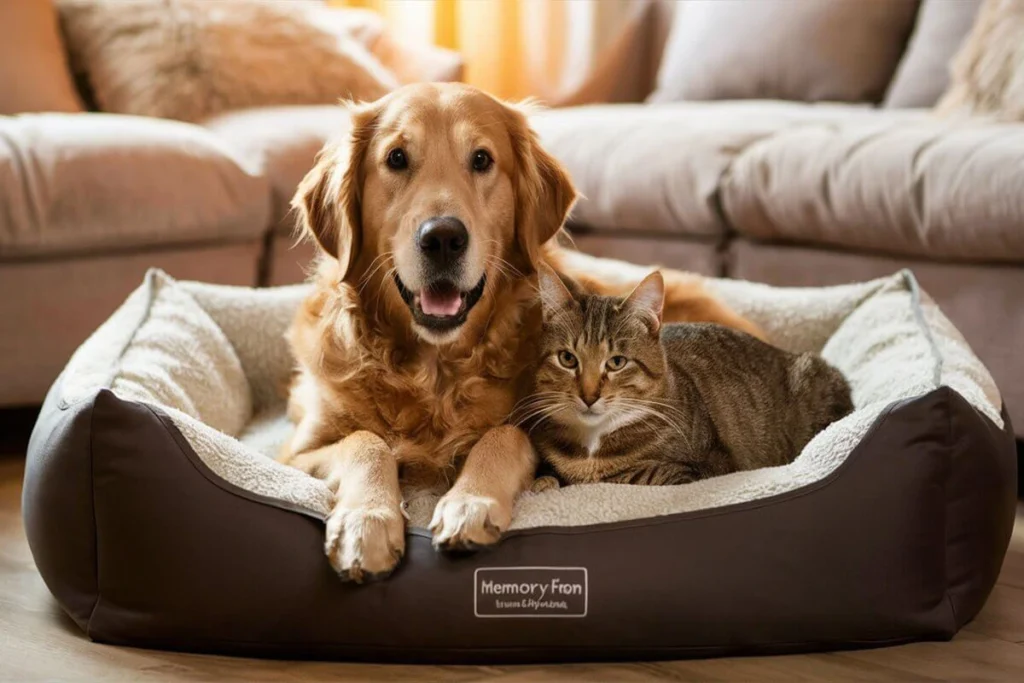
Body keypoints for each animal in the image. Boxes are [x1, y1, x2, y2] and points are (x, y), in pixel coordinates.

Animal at [280, 81, 761, 581]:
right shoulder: (295, 453)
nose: (443, 238)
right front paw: (367, 522)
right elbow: (365, 441)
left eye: (482, 159)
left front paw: (469, 503)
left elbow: (504, 436)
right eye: (396, 158)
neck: (435, 372)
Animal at [524, 266, 851, 485]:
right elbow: (548, 476)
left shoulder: (709, 467)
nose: (589, 396)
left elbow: (645, 474)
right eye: (567, 358)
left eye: (616, 362)